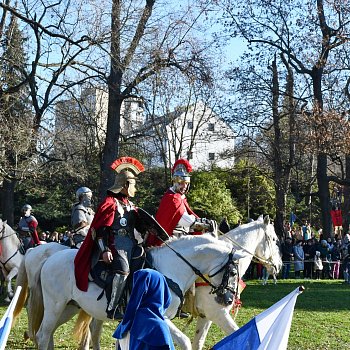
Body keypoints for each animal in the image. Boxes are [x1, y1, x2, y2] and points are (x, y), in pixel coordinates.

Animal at [15, 234, 238, 348]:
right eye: (234, 272)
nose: (228, 300)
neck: (170, 268)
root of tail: (47, 258)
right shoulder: (161, 316)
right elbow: (184, 340)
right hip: (55, 305)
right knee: (43, 334)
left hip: (68, 308)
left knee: (46, 333)